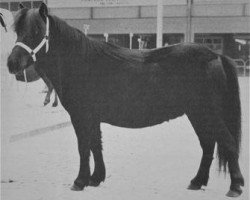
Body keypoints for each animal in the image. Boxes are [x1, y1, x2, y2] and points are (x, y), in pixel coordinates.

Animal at [6, 3, 244, 197]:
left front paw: (80, 181)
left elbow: (84, 147)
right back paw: (197, 182)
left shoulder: (81, 116)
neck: (81, 62)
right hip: (197, 114)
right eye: (17, 30)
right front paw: (96, 178)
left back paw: (235, 187)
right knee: (208, 145)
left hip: (207, 113)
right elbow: (96, 145)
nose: (12, 63)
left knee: (228, 142)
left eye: (37, 30)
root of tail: (216, 56)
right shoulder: (92, 117)